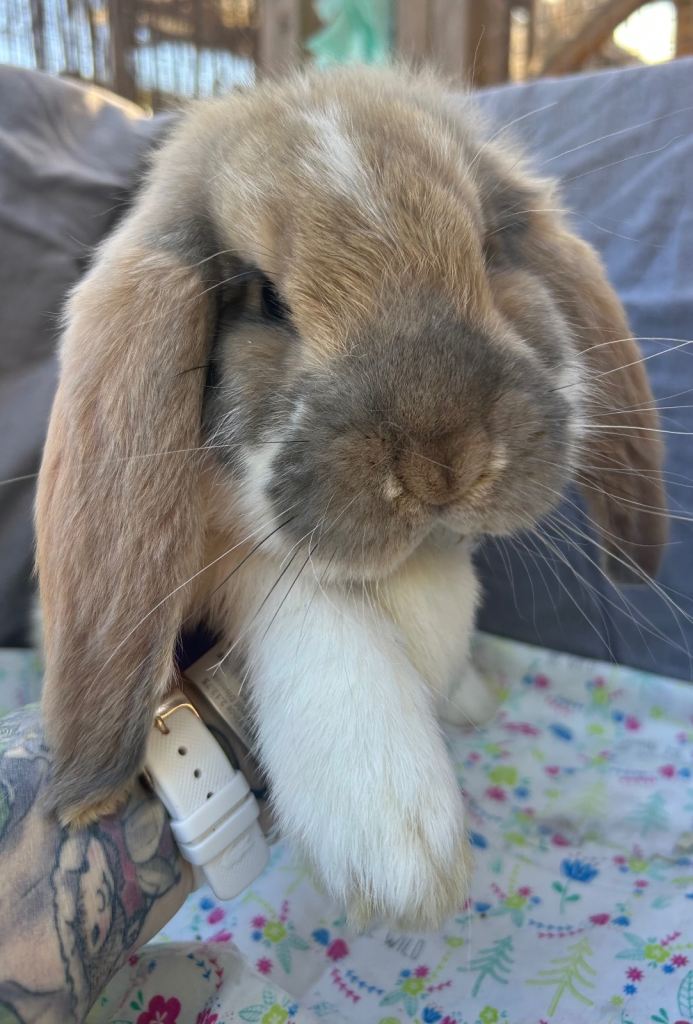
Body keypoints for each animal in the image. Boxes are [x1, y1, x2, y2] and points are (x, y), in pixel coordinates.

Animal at [35, 65, 666, 929]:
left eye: (486, 250)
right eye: (265, 300)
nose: (444, 463)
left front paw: (464, 690)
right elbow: (301, 596)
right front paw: (393, 836)